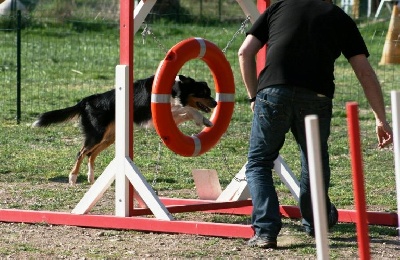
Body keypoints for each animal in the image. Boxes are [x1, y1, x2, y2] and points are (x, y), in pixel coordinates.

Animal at [32, 75, 217, 185]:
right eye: (203, 92)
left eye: (209, 92)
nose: (216, 103)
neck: (176, 88)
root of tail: (86, 100)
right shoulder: (154, 114)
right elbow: (189, 109)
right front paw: (202, 119)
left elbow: (187, 110)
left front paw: (206, 121)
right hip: (96, 134)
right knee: (81, 152)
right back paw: (73, 177)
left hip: (110, 136)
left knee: (91, 154)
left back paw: (91, 178)